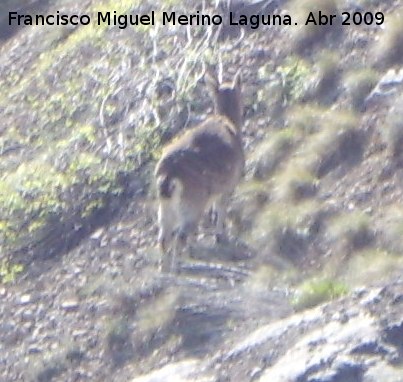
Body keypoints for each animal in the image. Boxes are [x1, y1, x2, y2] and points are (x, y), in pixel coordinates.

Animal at [155, 70, 245, 270]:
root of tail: (170, 175)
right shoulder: (229, 185)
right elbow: (221, 209)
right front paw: (221, 237)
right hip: (192, 201)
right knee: (180, 235)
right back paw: (177, 267)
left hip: (166, 206)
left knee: (164, 237)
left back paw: (164, 268)